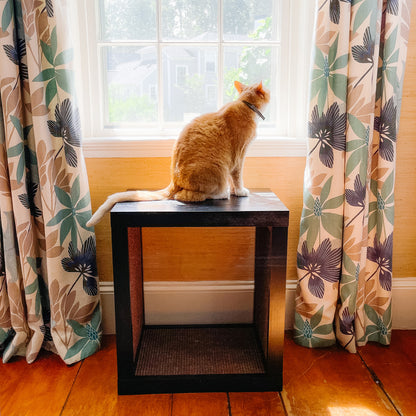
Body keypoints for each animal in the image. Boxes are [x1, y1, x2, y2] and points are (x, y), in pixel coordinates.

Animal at [86, 79, 272, 226]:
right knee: (186, 196)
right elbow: (237, 178)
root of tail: (173, 180)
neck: (245, 105)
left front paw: (235, 191)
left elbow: (235, 180)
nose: (270, 91)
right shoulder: (238, 157)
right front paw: (239, 191)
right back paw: (221, 194)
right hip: (218, 169)